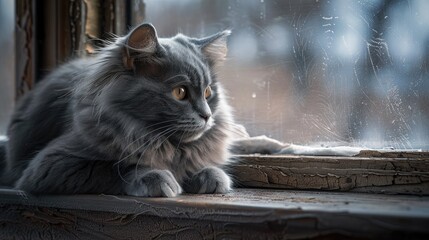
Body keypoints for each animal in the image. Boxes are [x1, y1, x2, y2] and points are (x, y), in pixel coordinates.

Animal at [0, 23, 236, 197]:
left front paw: (209, 175)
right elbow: (116, 167)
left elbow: (198, 165)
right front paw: (157, 177)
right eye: (180, 92)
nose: (207, 115)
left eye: (207, 92)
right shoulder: (49, 165)